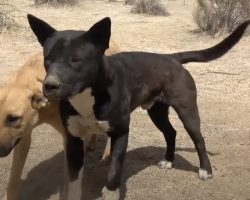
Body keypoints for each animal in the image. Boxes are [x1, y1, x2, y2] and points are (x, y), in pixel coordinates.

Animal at [0, 40, 119, 200]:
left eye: (13, 118)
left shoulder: (68, 138)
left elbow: (68, 180)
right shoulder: (23, 137)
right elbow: (13, 178)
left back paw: (106, 155)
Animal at [27, 14, 250, 200]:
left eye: (75, 60)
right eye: (48, 59)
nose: (49, 86)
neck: (89, 95)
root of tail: (172, 57)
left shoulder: (120, 133)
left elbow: (114, 173)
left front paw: (110, 193)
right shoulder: (73, 139)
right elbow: (74, 182)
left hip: (187, 111)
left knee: (199, 140)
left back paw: (205, 170)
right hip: (157, 112)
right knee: (171, 133)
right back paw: (168, 160)